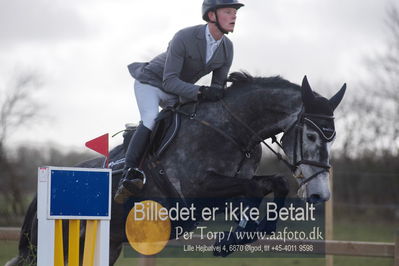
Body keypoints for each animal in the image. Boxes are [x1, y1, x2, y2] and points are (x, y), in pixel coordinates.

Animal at [6, 71, 346, 264]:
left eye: (333, 137)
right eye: (312, 135)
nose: (320, 195)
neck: (231, 129)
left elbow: (275, 183)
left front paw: (241, 236)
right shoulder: (198, 193)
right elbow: (257, 187)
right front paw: (233, 238)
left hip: (109, 244)